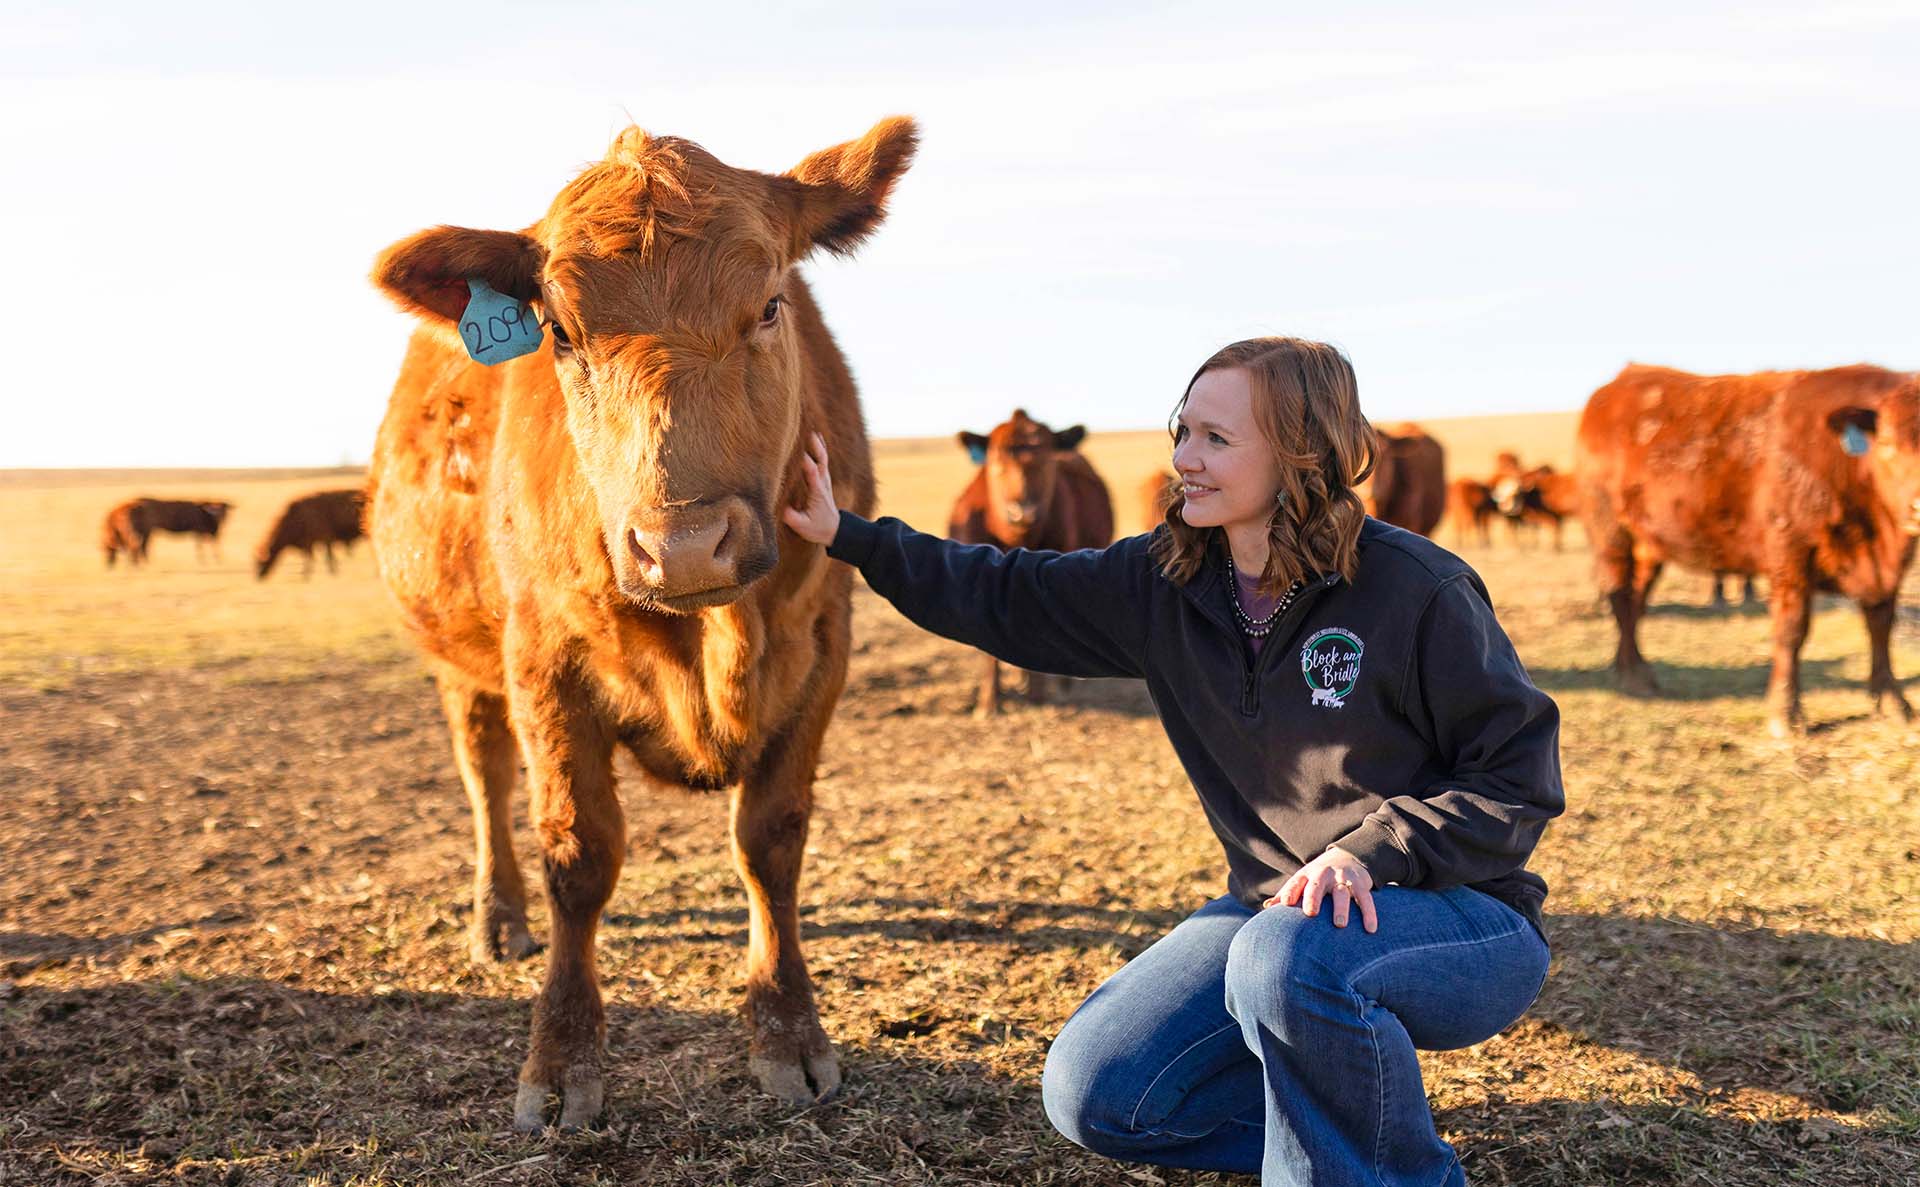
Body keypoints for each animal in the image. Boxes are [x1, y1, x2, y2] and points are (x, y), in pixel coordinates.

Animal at [368, 120, 921, 1129]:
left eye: (771, 306)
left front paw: (789, 1033)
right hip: (463, 663)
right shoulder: (543, 662)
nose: (685, 545)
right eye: (560, 332)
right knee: (484, 775)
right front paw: (559, 1061)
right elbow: (578, 852)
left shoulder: (823, 646)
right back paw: (498, 916)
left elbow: (771, 839)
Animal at [1574, 361, 1920, 729]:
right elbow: (1792, 629)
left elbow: (1880, 625)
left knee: (1636, 599)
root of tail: (1621, 381)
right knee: (1620, 598)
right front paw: (1785, 712)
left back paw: (1628, 666)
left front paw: (1893, 701)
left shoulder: (1884, 572)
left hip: (1648, 545)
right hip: (1610, 533)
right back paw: (1635, 677)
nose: (1917, 506)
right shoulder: (1790, 553)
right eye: (1886, 442)